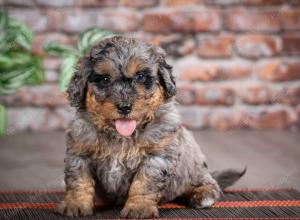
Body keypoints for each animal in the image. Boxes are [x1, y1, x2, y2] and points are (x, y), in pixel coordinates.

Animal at [57, 36, 245, 218]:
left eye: (140, 77)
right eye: (104, 79)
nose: (124, 107)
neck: (121, 137)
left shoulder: (157, 156)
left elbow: (144, 183)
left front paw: (138, 208)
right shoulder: (80, 151)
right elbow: (79, 181)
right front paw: (76, 205)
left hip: (194, 165)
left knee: (207, 181)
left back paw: (203, 195)